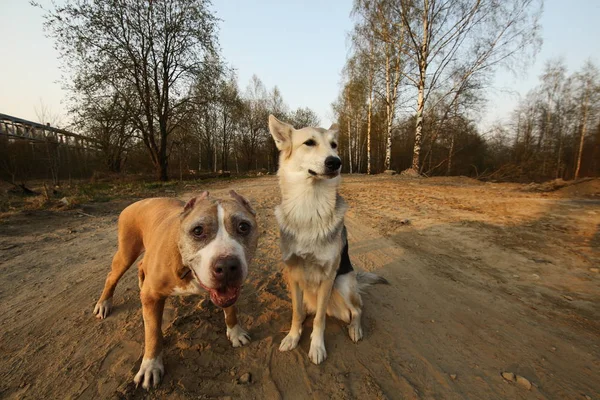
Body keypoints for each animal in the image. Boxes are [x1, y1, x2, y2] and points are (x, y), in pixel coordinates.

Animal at [92, 191, 256, 388]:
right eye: (198, 231)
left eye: (243, 227)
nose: (226, 266)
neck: (186, 265)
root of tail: (136, 203)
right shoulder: (151, 297)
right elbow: (153, 333)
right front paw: (150, 366)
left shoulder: (228, 291)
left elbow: (230, 309)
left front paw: (235, 332)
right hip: (126, 253)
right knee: (112, 276)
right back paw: (104, 303)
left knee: (141, 264)